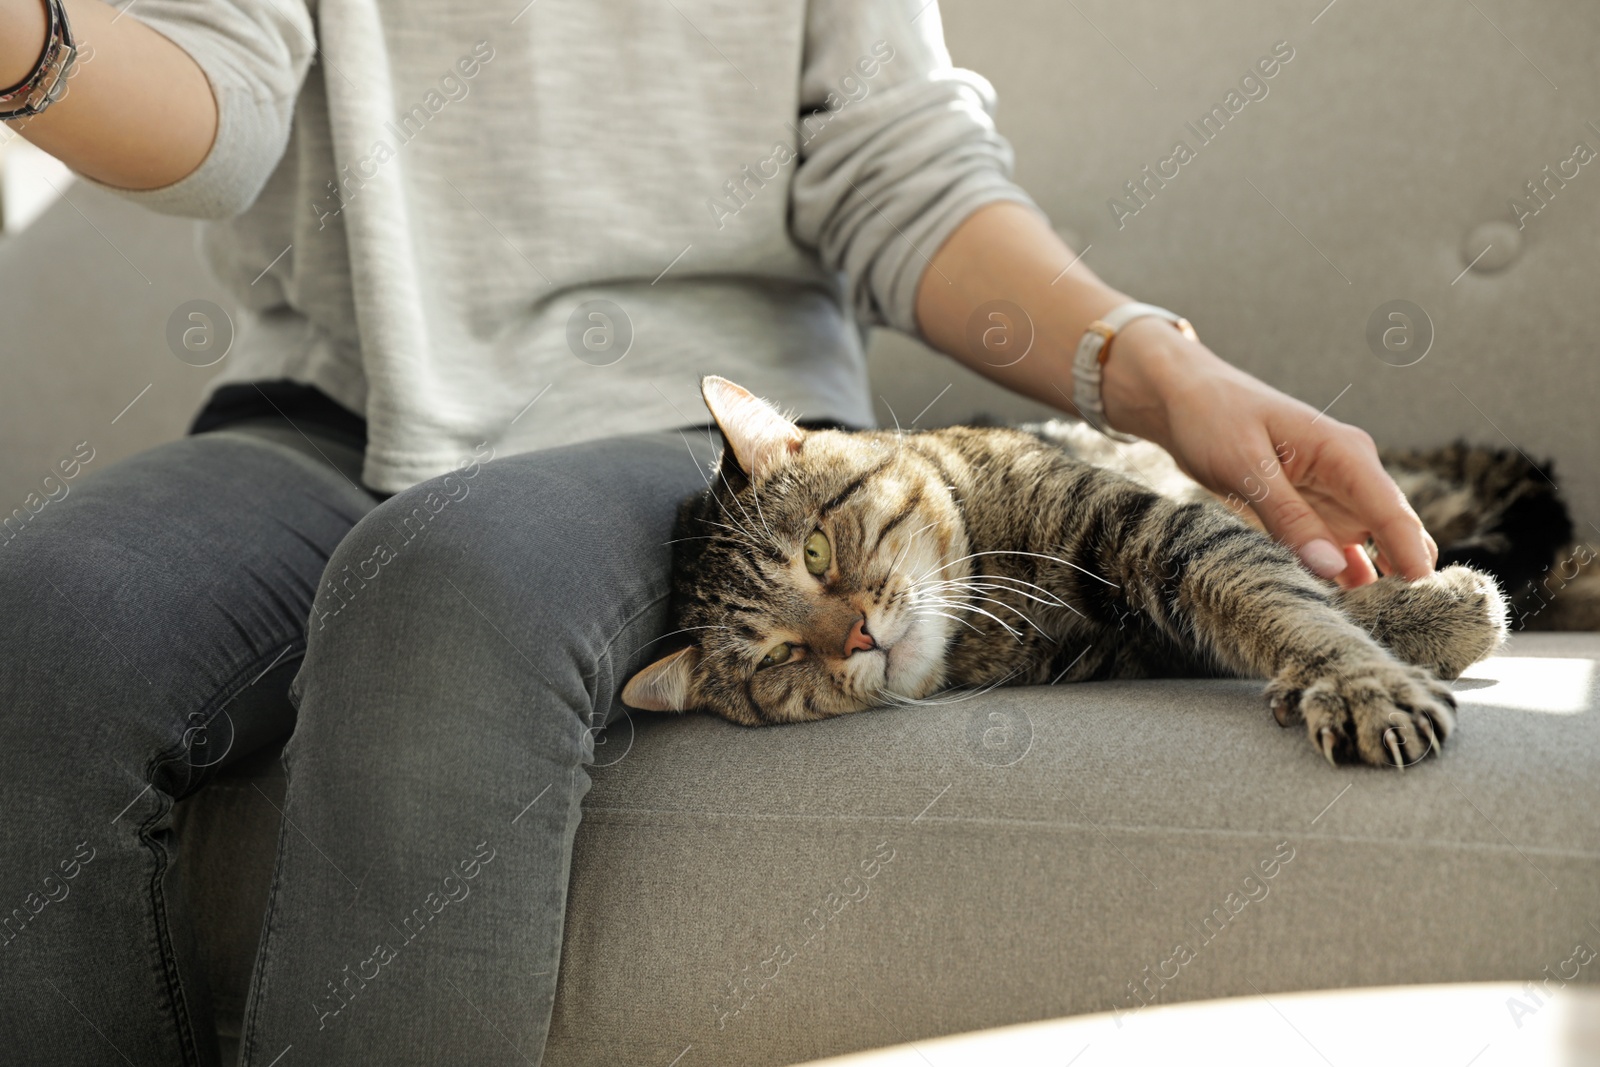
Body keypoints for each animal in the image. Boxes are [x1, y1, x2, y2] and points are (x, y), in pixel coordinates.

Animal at [624, 375, 1510, 767]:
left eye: (814, 551)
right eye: (780, 656)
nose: (857, 638)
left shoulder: (1151, 525)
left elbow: (1273, 590)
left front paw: (1369, 674)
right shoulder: (1135, 645)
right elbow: (1283, 599)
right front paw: (1422, 620)